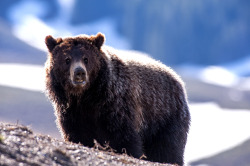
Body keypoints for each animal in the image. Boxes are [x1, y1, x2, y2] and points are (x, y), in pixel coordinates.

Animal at [44, 32, 189, 166]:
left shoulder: (117, 104)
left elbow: (124, 137)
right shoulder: (71, 111)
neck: (88, 97)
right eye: (67, 59)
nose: (79, 73)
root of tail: (178, 80)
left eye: (86, 58)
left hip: (165, 117)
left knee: (167, 147)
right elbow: (77, 134)